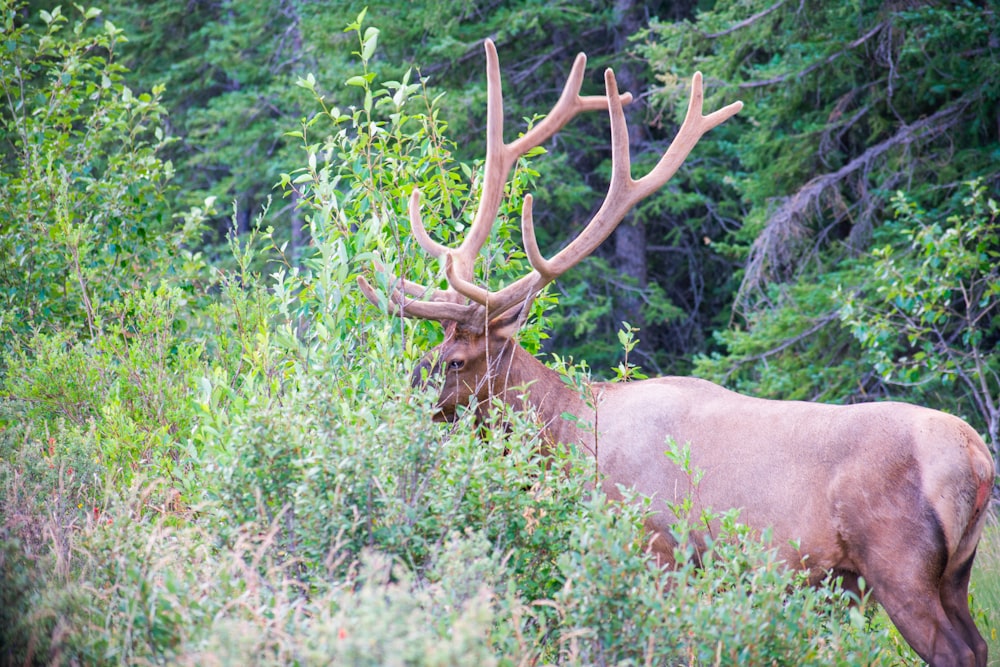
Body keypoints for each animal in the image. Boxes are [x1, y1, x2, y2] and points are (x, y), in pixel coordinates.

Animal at [358, 39, 992, 664]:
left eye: (454, 362)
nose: (399, 403)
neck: (565, 438)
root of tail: (979, 460)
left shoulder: (654, 541)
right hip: (954, 573)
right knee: (980, 642)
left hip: (898, 563)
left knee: (953, 649)